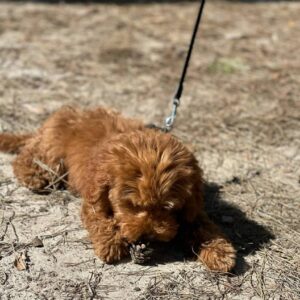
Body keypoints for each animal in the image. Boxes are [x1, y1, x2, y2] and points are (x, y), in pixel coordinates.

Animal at [0, 105, 234, 272]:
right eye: (132, 205)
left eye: (168, 208)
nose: (148, 237)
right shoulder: (93, 198)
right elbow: (99, 218)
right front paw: (110, 243)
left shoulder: (192, 207)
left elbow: (201, 225)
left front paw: (220, 252)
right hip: (53, 153)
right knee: (27, 158)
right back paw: (33, 175)